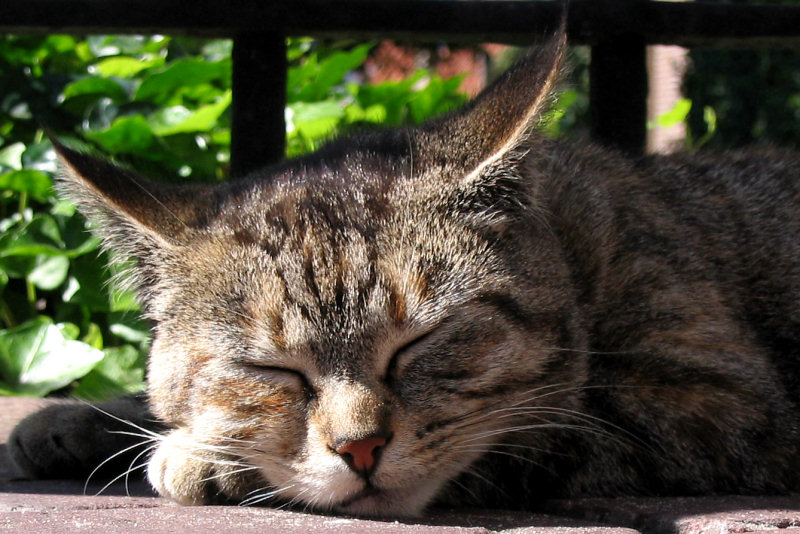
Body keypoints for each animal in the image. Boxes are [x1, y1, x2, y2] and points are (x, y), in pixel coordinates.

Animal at [7, 30, 800, 520]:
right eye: (272, 370)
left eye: (419, 342)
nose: (360, 448)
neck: (577, 246)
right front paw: (82, 418)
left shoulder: (715, 401)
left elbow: (528, 437)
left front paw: (200, 457)